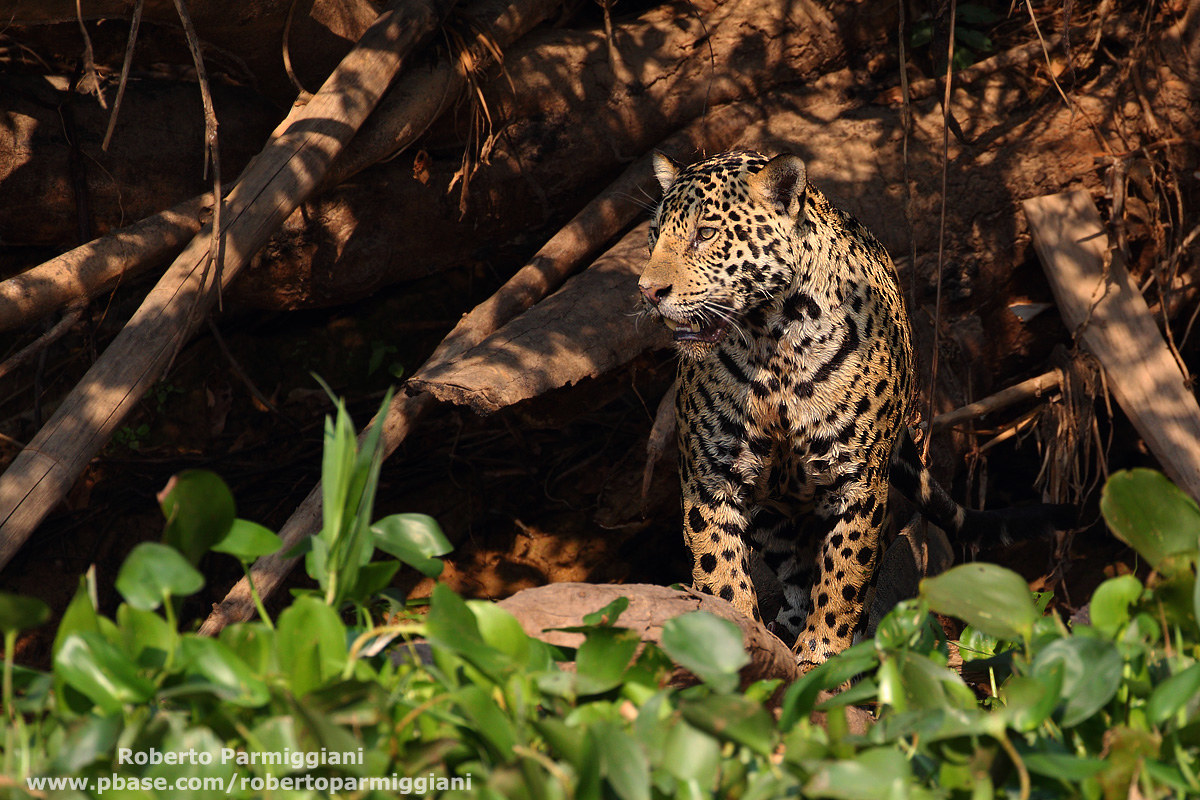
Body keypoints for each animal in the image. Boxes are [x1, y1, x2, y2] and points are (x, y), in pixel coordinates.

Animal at [638, 149, 1072, 665]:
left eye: (705, 234)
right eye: (654, 236)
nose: (648, 291)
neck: (770, 349)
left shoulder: (857, 485)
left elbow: (842, 583)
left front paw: (823, 658)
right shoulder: (710, 483)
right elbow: (720, 574)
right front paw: (733, 648)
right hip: (771, 511)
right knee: (794, 568)